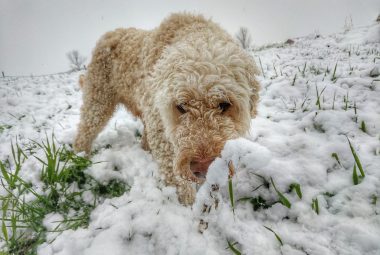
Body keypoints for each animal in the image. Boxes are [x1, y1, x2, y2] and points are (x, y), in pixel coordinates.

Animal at [73, 13, 260, 205]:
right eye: (181, 106)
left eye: (224, 104)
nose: (203, 166)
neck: (192, 31)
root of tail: (108, 34)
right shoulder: (161, 131)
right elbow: (176, 179)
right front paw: (188, 206)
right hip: (98, 98)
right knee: (85, 131)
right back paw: (80, 159)